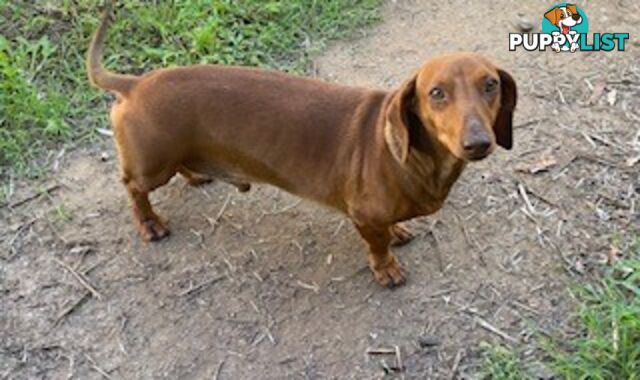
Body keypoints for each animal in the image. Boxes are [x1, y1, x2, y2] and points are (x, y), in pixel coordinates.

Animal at [87, 5, 516, 286]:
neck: (409, 157)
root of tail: (135, 84)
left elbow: (389, 230)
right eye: (436, 93)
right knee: (133, 187)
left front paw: (397, 232)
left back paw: (195, 175)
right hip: (151, 166)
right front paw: (387, 269)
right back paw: (150, 224)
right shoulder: (364, 218)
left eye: (490, 84)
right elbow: (377, 247)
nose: (478, 142)